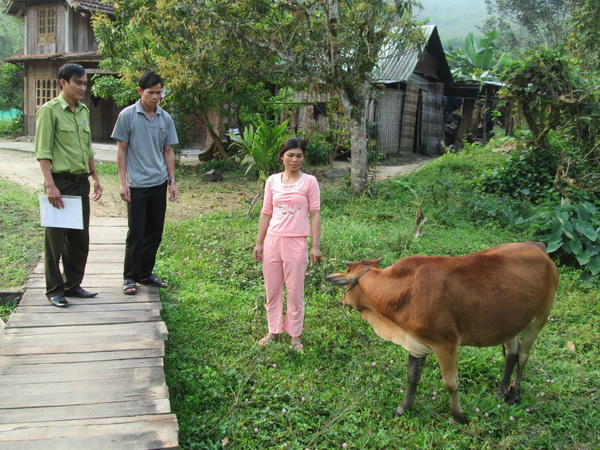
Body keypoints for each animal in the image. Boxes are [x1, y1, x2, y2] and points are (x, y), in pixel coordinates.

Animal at [326, 243, 560, 422]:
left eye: (347, 278)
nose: (343, 300)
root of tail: (539, 247)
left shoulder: (446, 344)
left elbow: (451, 383)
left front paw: (457, 416)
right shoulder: (416, 344)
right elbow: (412, 377)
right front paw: (403, 408)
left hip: (540, 316)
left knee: (523, 355)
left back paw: (514, 394)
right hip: (509, 324)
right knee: (511, 353)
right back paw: (501, 392)